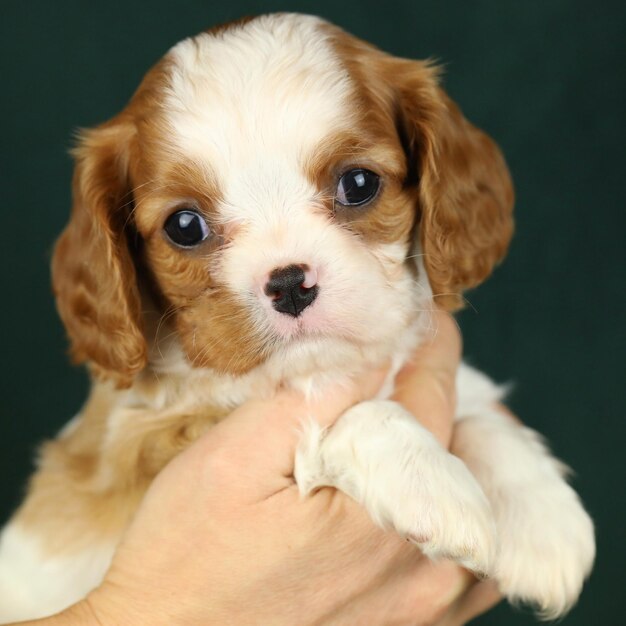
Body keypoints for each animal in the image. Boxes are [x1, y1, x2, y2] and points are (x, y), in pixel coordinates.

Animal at [0, 13, 588, 620]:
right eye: (184, 226)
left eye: (358, 184)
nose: (289, 284)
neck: (311, 371)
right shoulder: (139, 453)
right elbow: (352, 420)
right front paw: (433, 483)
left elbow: (477, 406)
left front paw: (541, 516)